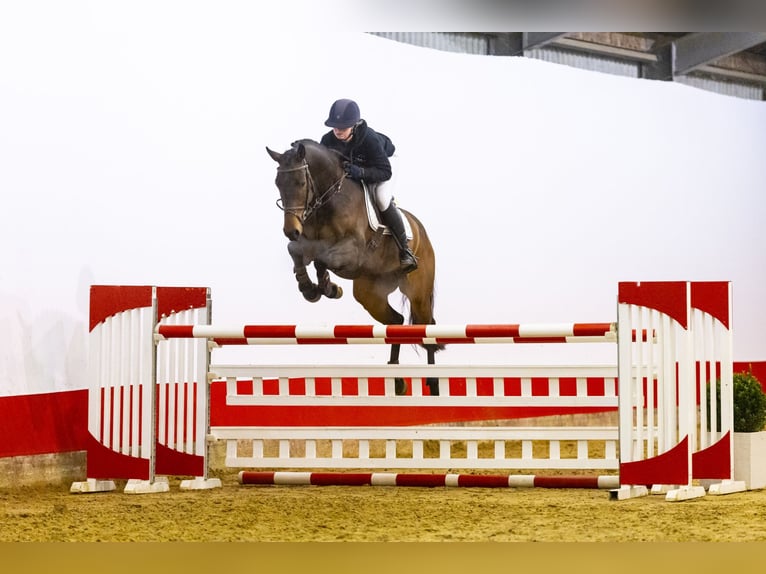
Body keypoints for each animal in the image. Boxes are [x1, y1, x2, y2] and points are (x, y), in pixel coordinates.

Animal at [268, 140, 440, 396]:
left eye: (301, 183)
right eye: (278, 183)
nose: (291, 230)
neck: (326, 201)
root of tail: (421, 230)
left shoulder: (353, 253)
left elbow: (322, 259)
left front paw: (328, 287)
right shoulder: (305, 243)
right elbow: (295, 250)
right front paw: (309, 288)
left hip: (418, 292)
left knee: (427, 328)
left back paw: (434, 383)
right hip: (369, 294)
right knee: (396, 321)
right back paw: (397, 380)